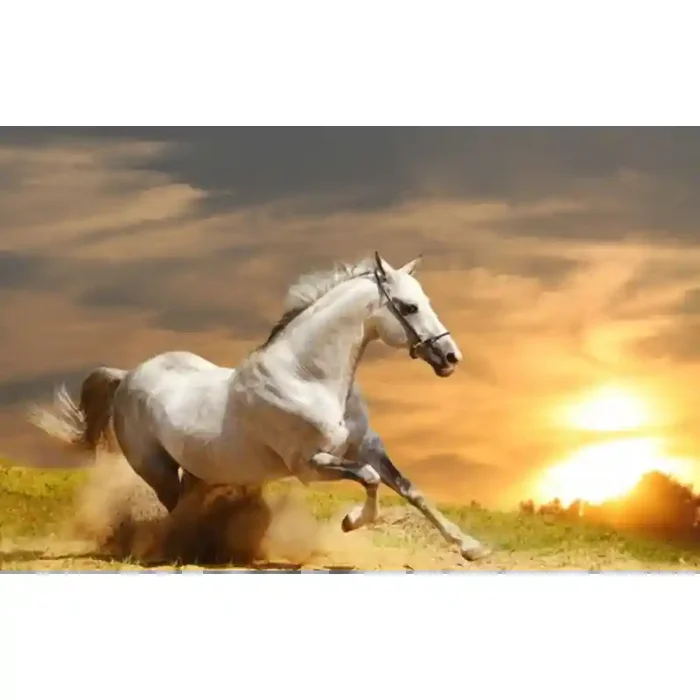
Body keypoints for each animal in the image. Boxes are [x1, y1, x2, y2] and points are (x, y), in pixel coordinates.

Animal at [29, 252, 491, 561]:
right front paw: (350, 522)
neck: (308, 377)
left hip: (200, 470)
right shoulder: (310, 465)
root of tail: (127, 375)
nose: (451, 357)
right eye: (409, 307)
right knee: (175, 509)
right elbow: (371, 479)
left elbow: (411, 490)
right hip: (157, 469)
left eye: (426, 300)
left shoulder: (367, 447)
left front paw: (471, 547)